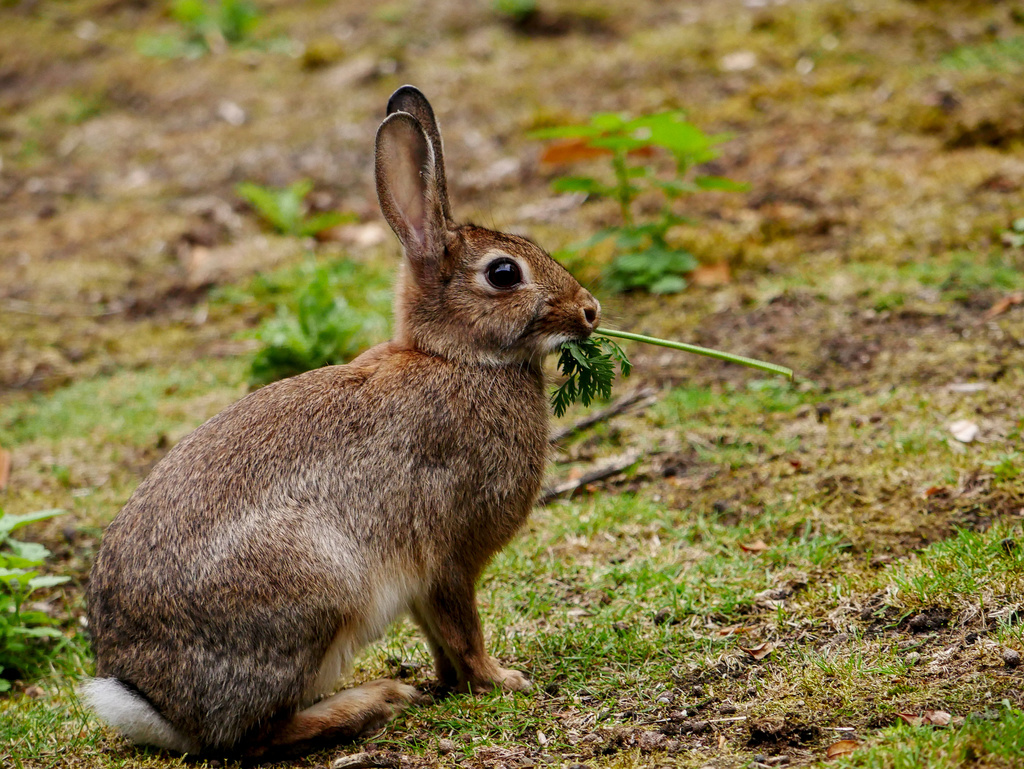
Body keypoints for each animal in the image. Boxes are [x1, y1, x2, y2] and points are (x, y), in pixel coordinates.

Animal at [81, 85, 601, 758]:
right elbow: (464, 628)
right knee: (256, 735)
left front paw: (451, 683)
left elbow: (440, 636)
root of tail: (156, 705)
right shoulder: (448, 556)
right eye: (504, 273)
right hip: (320, 589)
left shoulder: (422, 582)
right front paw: (502, 680)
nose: (590, 310)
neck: (457, 358)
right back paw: (374, 700)